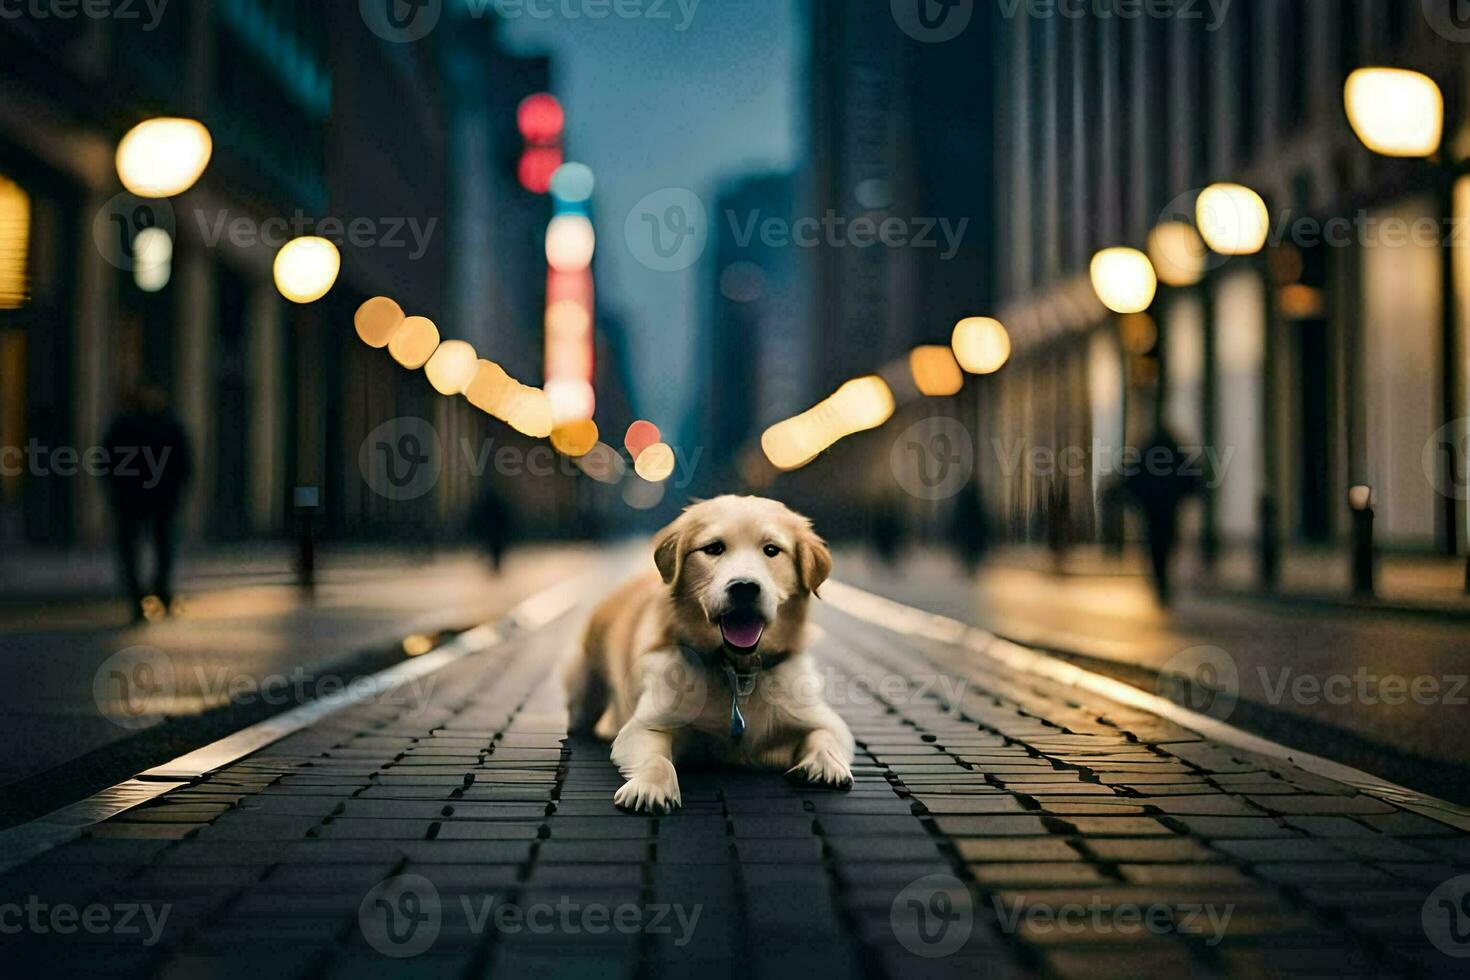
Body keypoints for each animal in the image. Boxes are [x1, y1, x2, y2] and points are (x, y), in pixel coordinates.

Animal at [564, 499, 858, 811]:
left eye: (771, 550)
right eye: (714, 548)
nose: (744, 587)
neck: (738, 673)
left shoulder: (822, 719)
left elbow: (824, 736)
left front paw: (825, 765)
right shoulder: (645, 725)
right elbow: (658, 760)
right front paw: (650, 787)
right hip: (583, 693)